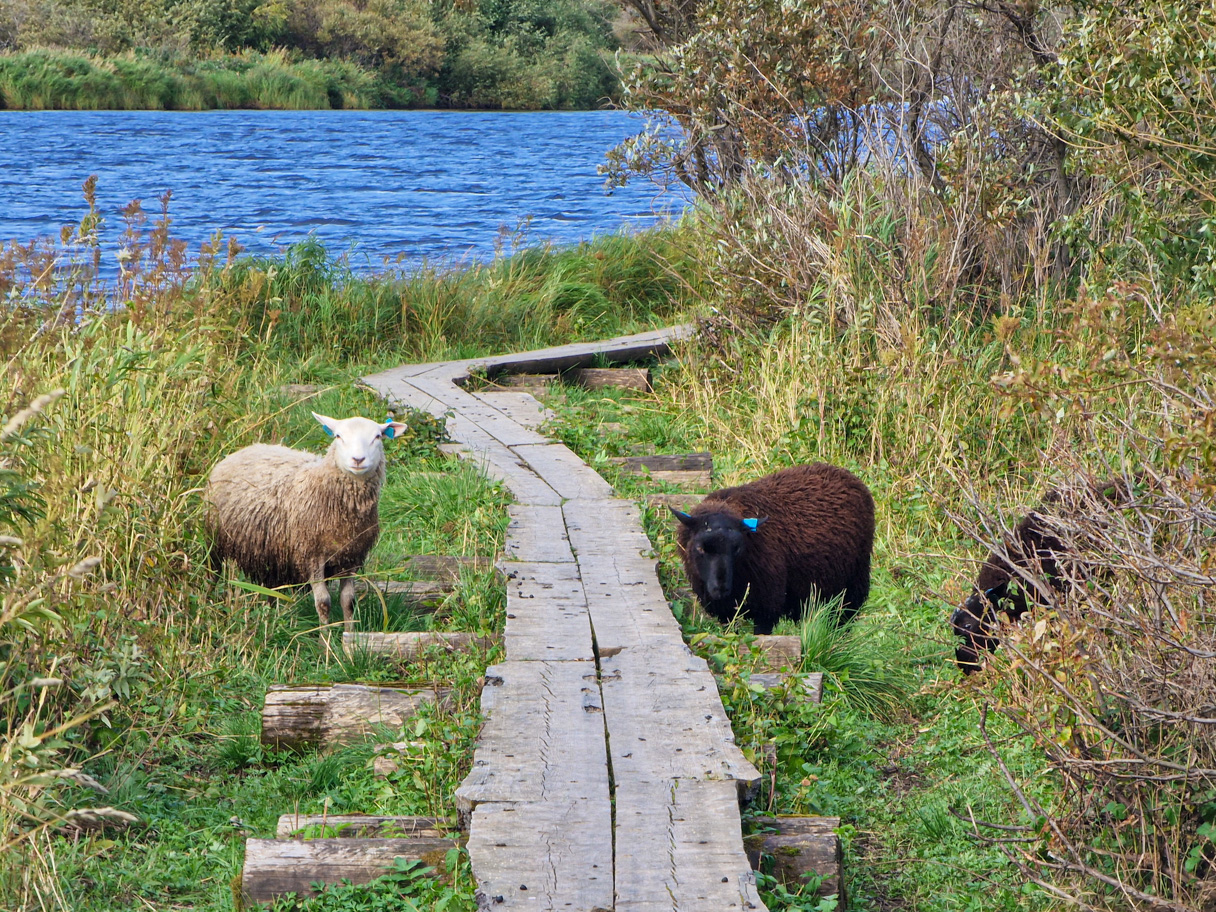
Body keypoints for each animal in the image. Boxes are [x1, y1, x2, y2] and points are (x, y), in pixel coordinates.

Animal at [201, 413, 406, 637]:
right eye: (338, 436)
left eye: (377, 437)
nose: (358, 460)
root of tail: (246, 448)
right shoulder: (311, 555)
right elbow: (324, 602)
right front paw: (325, 639)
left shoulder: (351, 556)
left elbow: (348, 601)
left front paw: (349, 636)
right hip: (215, 540)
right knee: (212, 574)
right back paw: (209, 605)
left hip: (270, 550)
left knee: (271, 587)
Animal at [676, 464, 875, 637]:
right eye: (700, 548)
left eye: (737, 549)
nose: (721, 588)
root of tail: (844, 473)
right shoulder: (726, 612)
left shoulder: (766, 607)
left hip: (852, 587)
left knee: (843, 623)